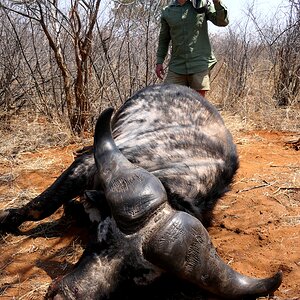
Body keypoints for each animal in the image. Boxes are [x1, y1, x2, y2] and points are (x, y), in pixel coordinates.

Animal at [0, 85, 282, 300]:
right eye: (101, 237)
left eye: (135, 277)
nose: (64, 296)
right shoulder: (87, 165)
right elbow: (41, 206)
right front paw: (8, 219)